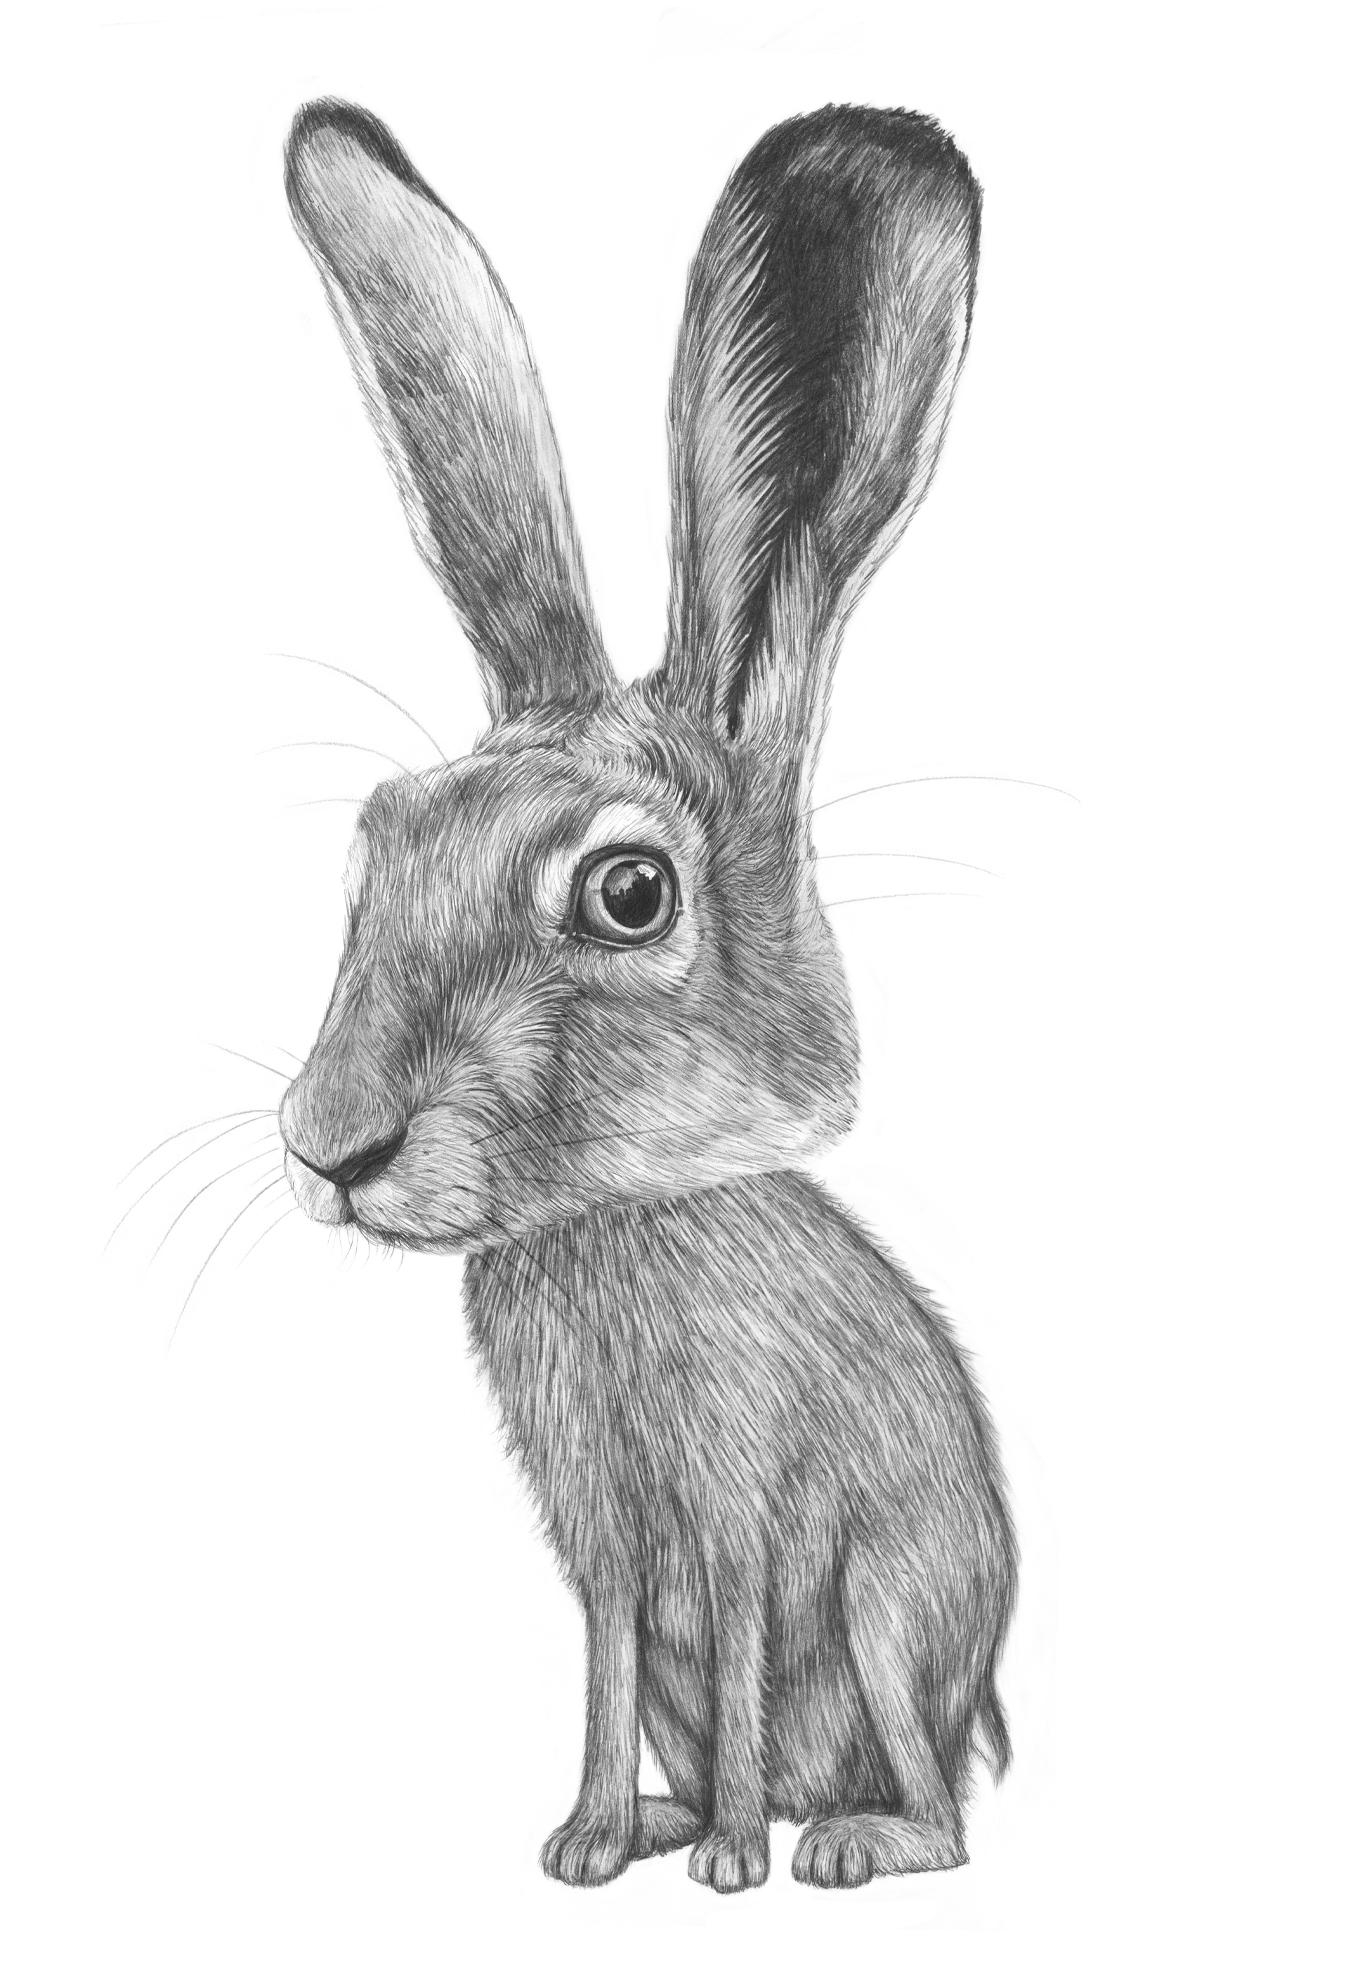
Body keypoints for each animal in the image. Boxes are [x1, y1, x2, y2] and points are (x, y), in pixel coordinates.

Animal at [280, 97, 1016, 1892]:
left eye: (628, 893)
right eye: (374, 851)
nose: (327, 1144)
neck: (612, 1219)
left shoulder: (744, 1511)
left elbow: (741, 1628)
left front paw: (729, 1862)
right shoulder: (602, 1537)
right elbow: (609, 1651)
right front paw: (590, 1840)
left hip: (892, 1614)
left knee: (941, 1806)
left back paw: (838, 1840)